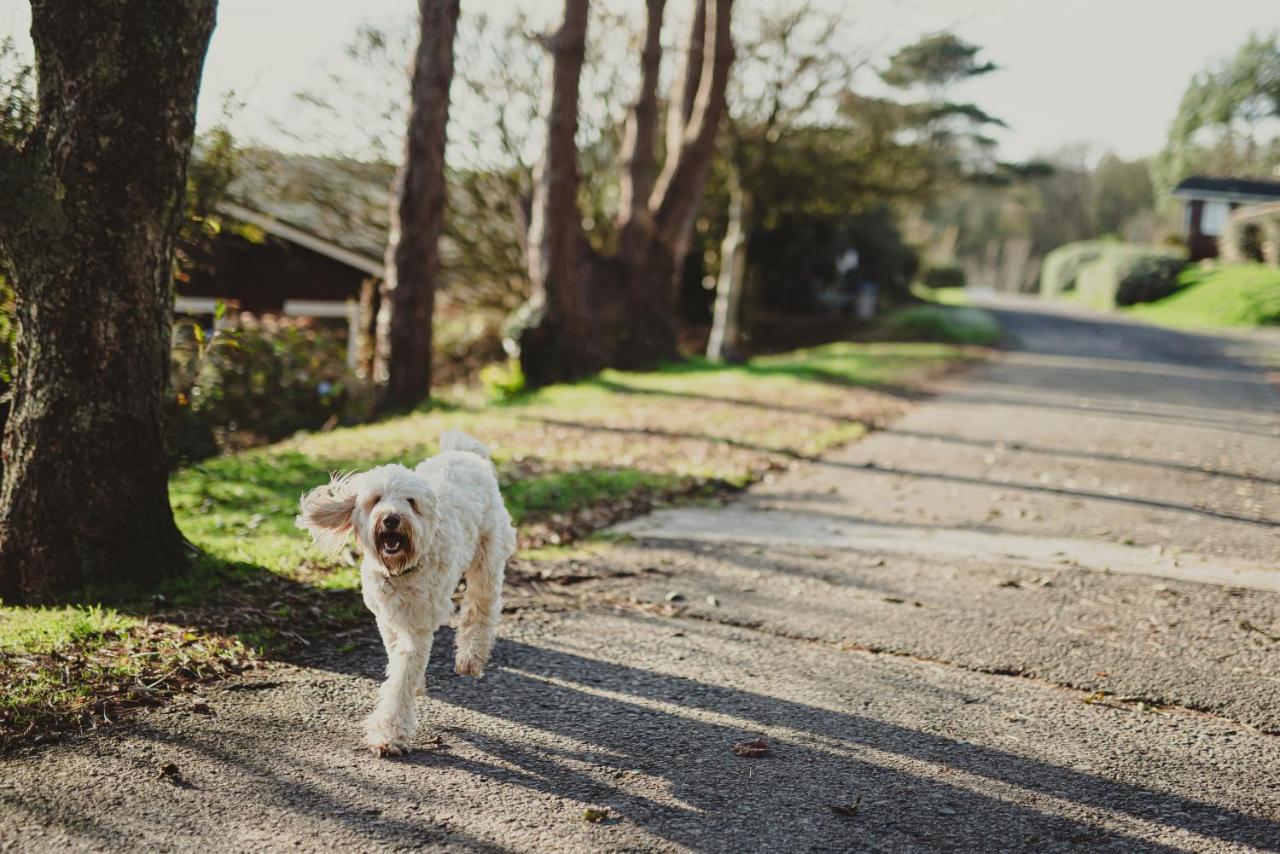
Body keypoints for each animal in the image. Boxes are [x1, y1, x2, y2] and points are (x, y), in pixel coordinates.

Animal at [296, 430, 517, 757]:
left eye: (410, 502)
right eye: (375, 499)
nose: (391, 518)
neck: (400, 571)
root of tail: (465, 453)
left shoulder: (417, 628)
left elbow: (401, 677)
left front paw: (389, 734)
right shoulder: (386, 619)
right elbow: (395, 654)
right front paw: (415, 686)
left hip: (487, 558)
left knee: (482, 607)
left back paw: (471, 658)